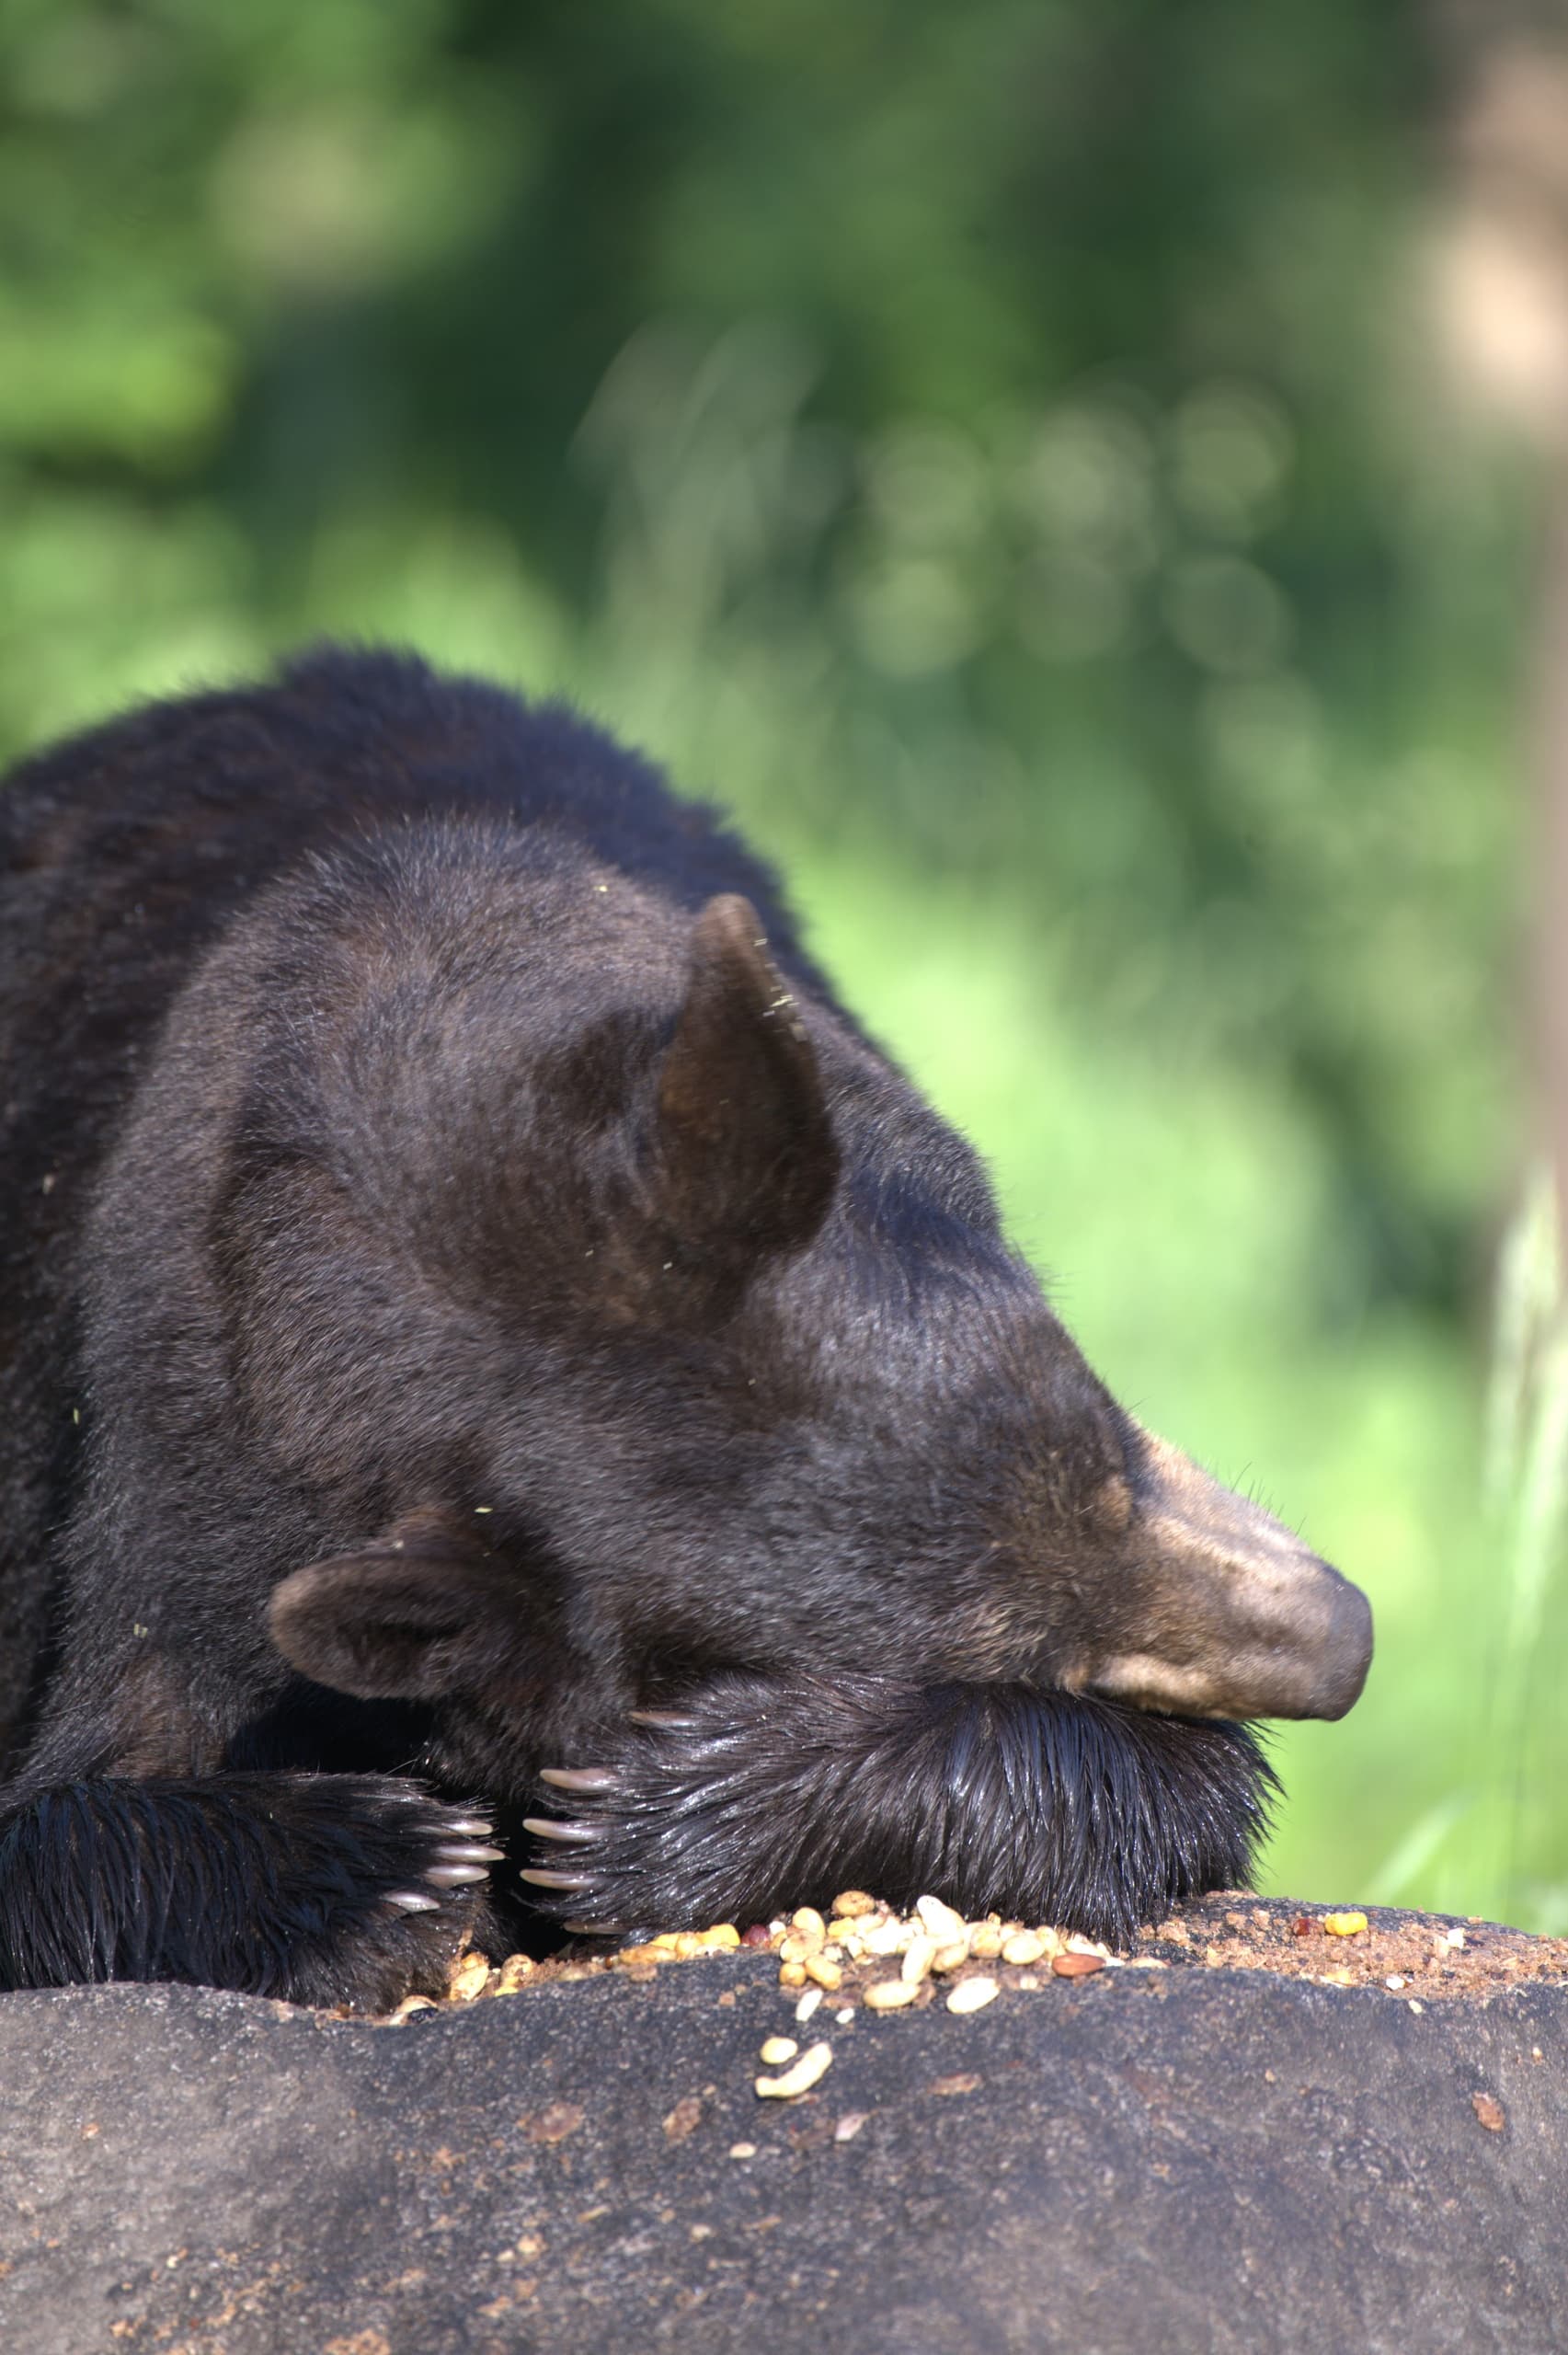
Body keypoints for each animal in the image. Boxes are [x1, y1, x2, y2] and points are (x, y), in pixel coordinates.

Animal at [0, 648, 1372, 2009]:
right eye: (1029, 1646)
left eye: (1108, 1447)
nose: (1343, 1637)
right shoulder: (179, 1457)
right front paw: (373, 1863)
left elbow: (1178, 1785)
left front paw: (668, 1813)